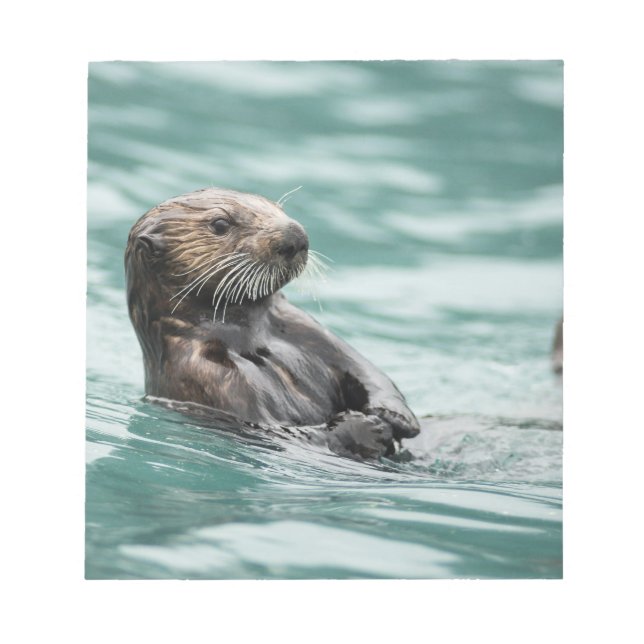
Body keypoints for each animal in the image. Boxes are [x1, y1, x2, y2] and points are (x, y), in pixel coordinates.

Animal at [125, 188, 420, 459]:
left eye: (277, 208)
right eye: (220, 224)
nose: (295, 235)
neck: (250, 338)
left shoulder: (304, 327)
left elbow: (365, 370)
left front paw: (395, 415)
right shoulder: (206, 376)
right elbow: (280, 431)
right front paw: (367, 428)